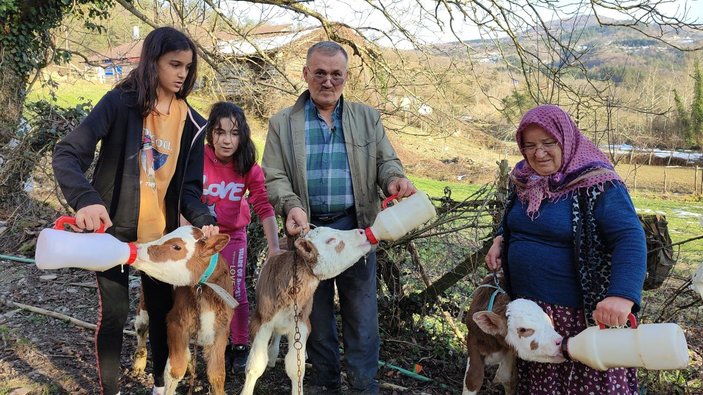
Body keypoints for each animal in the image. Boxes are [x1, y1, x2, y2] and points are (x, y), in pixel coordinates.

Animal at [128, 226, 235, 395]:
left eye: (177, 247)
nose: (137, 247)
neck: (203, 291)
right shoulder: (176, 322)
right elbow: (175, 371)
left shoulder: (221, 329)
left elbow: (217, 374)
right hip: (145, 304)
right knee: (141, 329)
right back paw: (139, 363)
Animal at [241, 226, 374, 395]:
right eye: (330, 240)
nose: (361, 231)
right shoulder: (261, 320)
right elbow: (256, 364)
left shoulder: (302, 323)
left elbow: (295, 367)